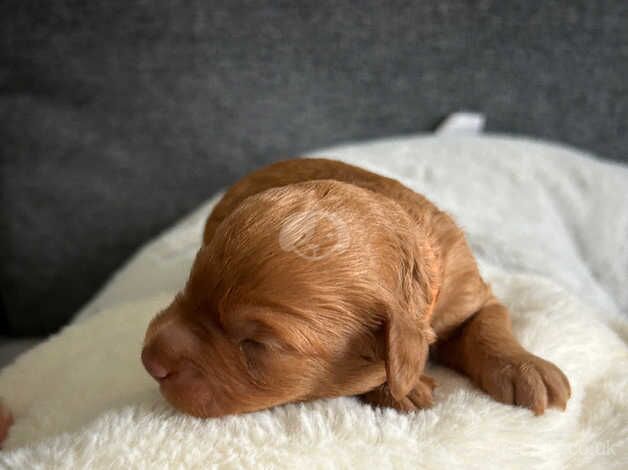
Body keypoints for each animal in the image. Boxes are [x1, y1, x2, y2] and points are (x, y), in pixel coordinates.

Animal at [141, 159, 568, 418]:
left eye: (256, 344)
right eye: (189, 285)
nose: (149, 360)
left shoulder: (467, 292)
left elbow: (488, 324)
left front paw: (527, 369)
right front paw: (402, 390)